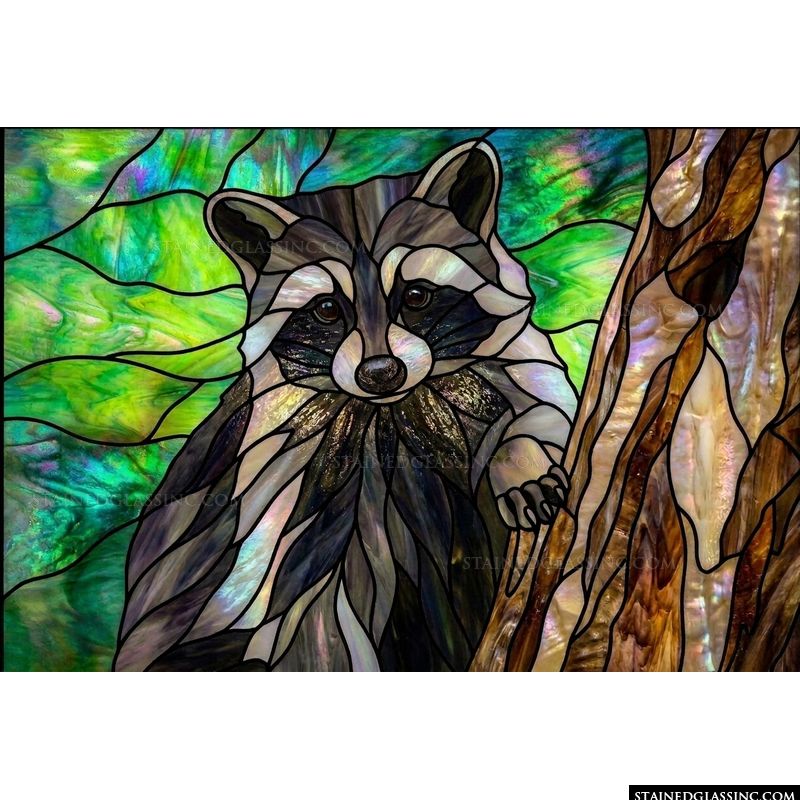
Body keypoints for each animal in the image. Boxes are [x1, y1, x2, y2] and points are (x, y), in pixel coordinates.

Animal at [113, 139, 577, 672]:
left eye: (416, 297)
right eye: (327, 309)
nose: (380, 372)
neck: (394, 408)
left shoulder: (518, 362)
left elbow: (554, 415)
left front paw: (517, 457)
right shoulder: (275, 450)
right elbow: (292, 578)